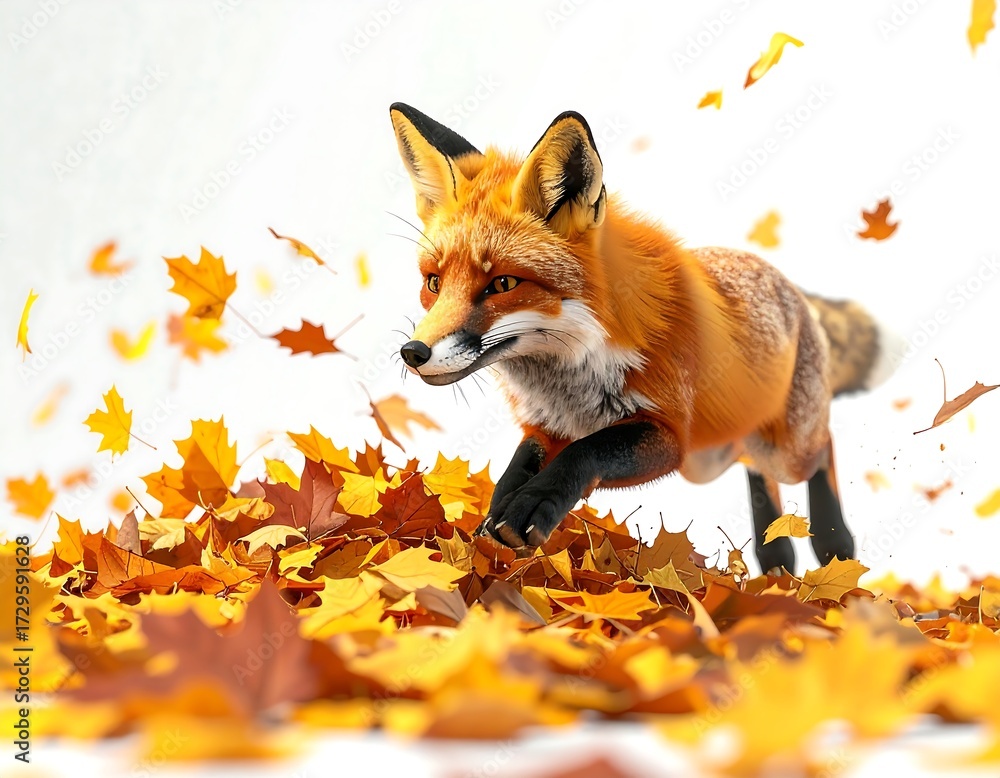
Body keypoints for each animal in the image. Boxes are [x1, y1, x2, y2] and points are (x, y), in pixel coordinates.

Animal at [389, 102, 894, 573]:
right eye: (433, 283)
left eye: (503, 284)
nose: (413, 353)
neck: (573, 372)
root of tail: (782, 279)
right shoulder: (546, 425)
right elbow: (517, 468)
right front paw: (492, 525)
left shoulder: (668, 433)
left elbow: (585, 451)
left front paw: (532, 506)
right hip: (718, 458)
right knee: (760, 483)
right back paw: (777, 560)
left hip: (781, 450)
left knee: (822, 447)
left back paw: (833, 540)